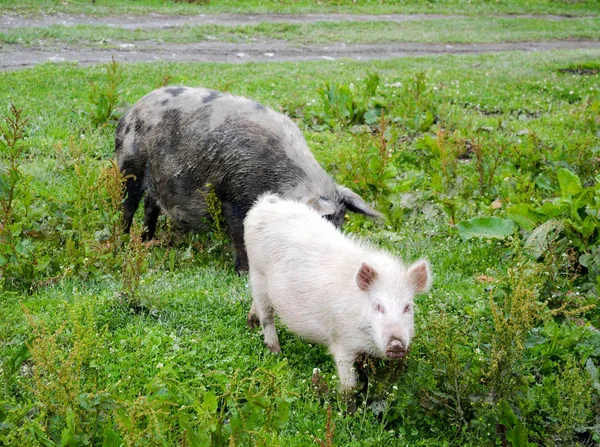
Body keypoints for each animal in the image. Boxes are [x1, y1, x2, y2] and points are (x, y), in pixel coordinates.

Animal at [116, 86, 380, 272]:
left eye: (340, 225)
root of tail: (129, 112)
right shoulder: (233, 195)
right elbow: (240, 234)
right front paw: (243, 272)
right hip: (128, 165)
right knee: (127, 206)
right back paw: (122, 242)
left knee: (150, 206)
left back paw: (147, 241)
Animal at [244, 196, 432, 396]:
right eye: (378, 306)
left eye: (408, 307)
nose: (396, 343)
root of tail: (266, 203)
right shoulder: (342, 341)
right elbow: (348, 384)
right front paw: (349, 403)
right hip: (257, 272)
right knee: (267, 316)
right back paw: (276, 352)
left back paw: (252, 325)